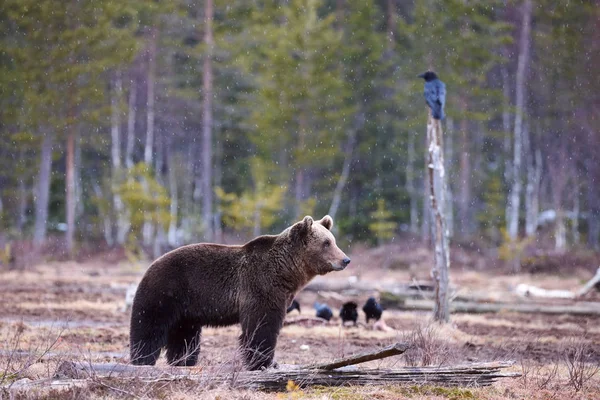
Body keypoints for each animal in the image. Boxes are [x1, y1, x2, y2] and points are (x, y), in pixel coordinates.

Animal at [129, 216, 350, 368]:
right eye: (326, 243)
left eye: (333, 240)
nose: (345, 259)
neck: (287, 272)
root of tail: (151, 264)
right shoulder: (260, 286)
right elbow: (261, 326)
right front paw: (263, 362)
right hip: (165, 292)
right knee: (149, 326)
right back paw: (142, 359)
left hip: (186, 309)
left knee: (184, 335)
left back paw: (183, 361)